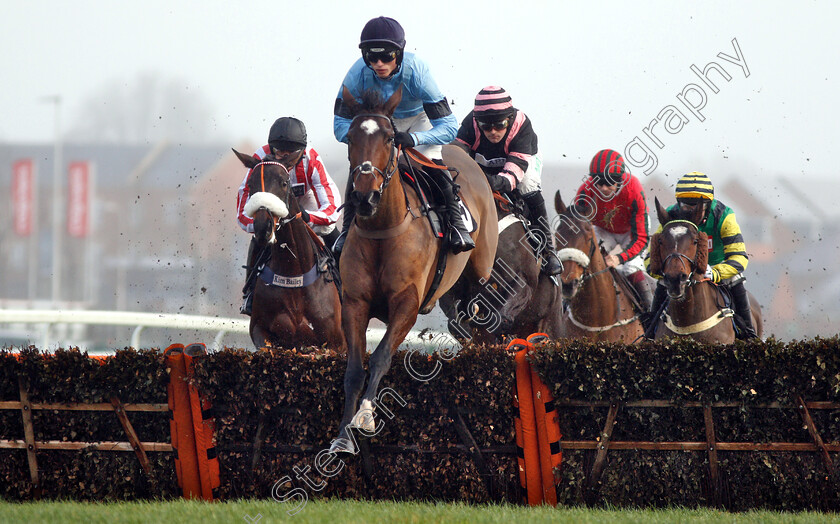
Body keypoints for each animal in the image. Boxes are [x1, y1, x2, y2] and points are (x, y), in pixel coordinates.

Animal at [233, 149, 344, 350]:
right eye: (251, 184)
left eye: (284, 183)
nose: (264, 227)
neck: (294, 273)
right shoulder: (260, 331)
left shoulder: (335, 343)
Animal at [328, 87, 498, 454]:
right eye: (350, 137)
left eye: (390, 138)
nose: (365, 198)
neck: (383, 229)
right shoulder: (354, 303)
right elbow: (354, 369)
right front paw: (343, 436)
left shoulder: (406, 303)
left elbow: (380, 357)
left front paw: (366, 415)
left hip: (479, 272)